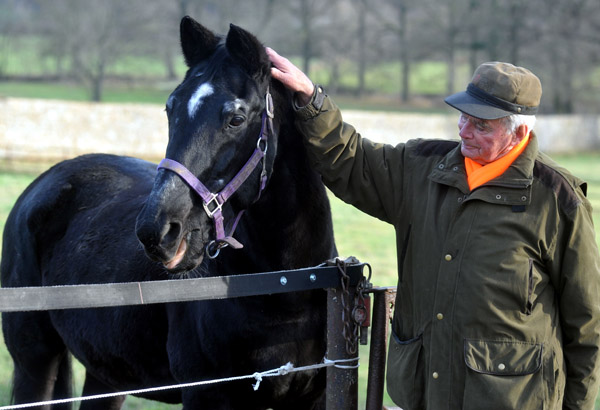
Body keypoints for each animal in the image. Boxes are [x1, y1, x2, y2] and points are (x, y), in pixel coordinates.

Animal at [0, 17, 336, 408]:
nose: (158, 231)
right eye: (170, 108)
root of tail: (42, 183)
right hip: (35, 360)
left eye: (236, 118)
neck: (285, 291)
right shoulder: (205, 393)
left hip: (108, 373)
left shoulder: (316, 394)